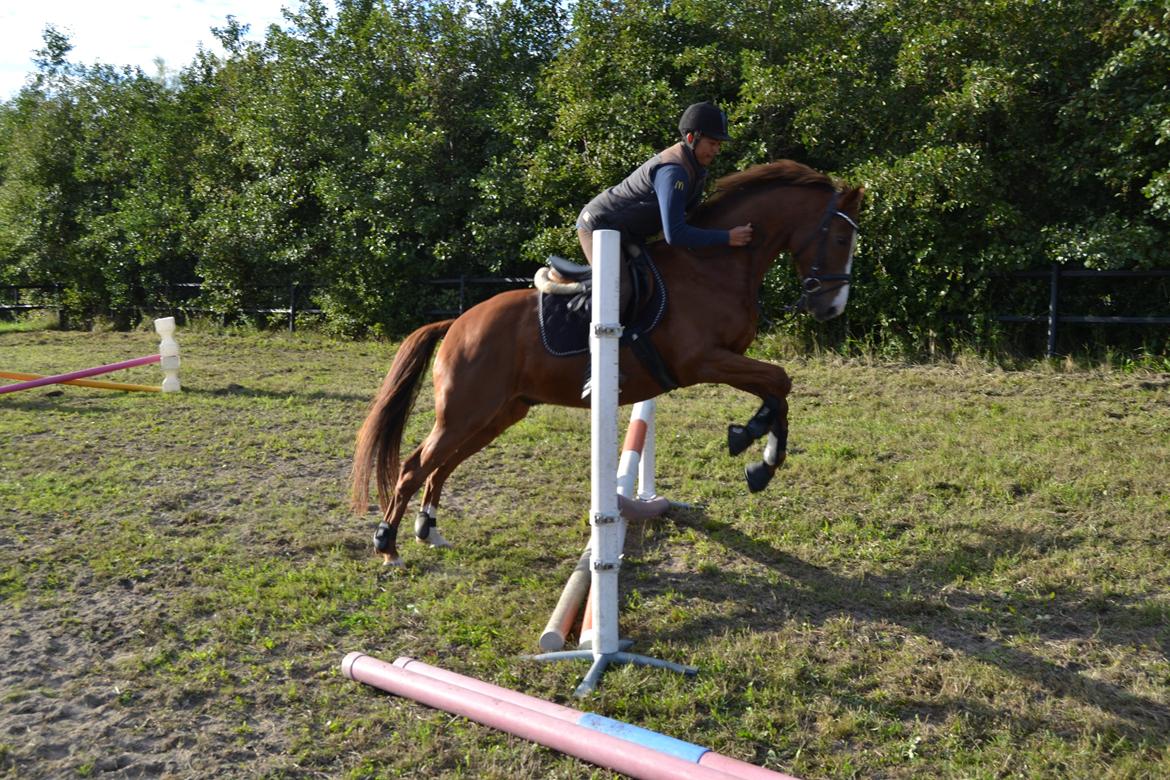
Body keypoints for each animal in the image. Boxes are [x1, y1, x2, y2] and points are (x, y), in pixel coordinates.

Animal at [351, 159, 865, 563]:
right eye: (841, 238)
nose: (832, 308)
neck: (715, 266)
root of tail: (458, 322)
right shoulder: (702, 361)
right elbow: (779, 380)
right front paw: (756, 451)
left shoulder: (727, 358)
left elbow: (777, 388)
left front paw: (756, 452)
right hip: (465, 409)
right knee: (416, 464)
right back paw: (388, 544)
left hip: (498, 413)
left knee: (442, 464)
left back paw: (428, 529)